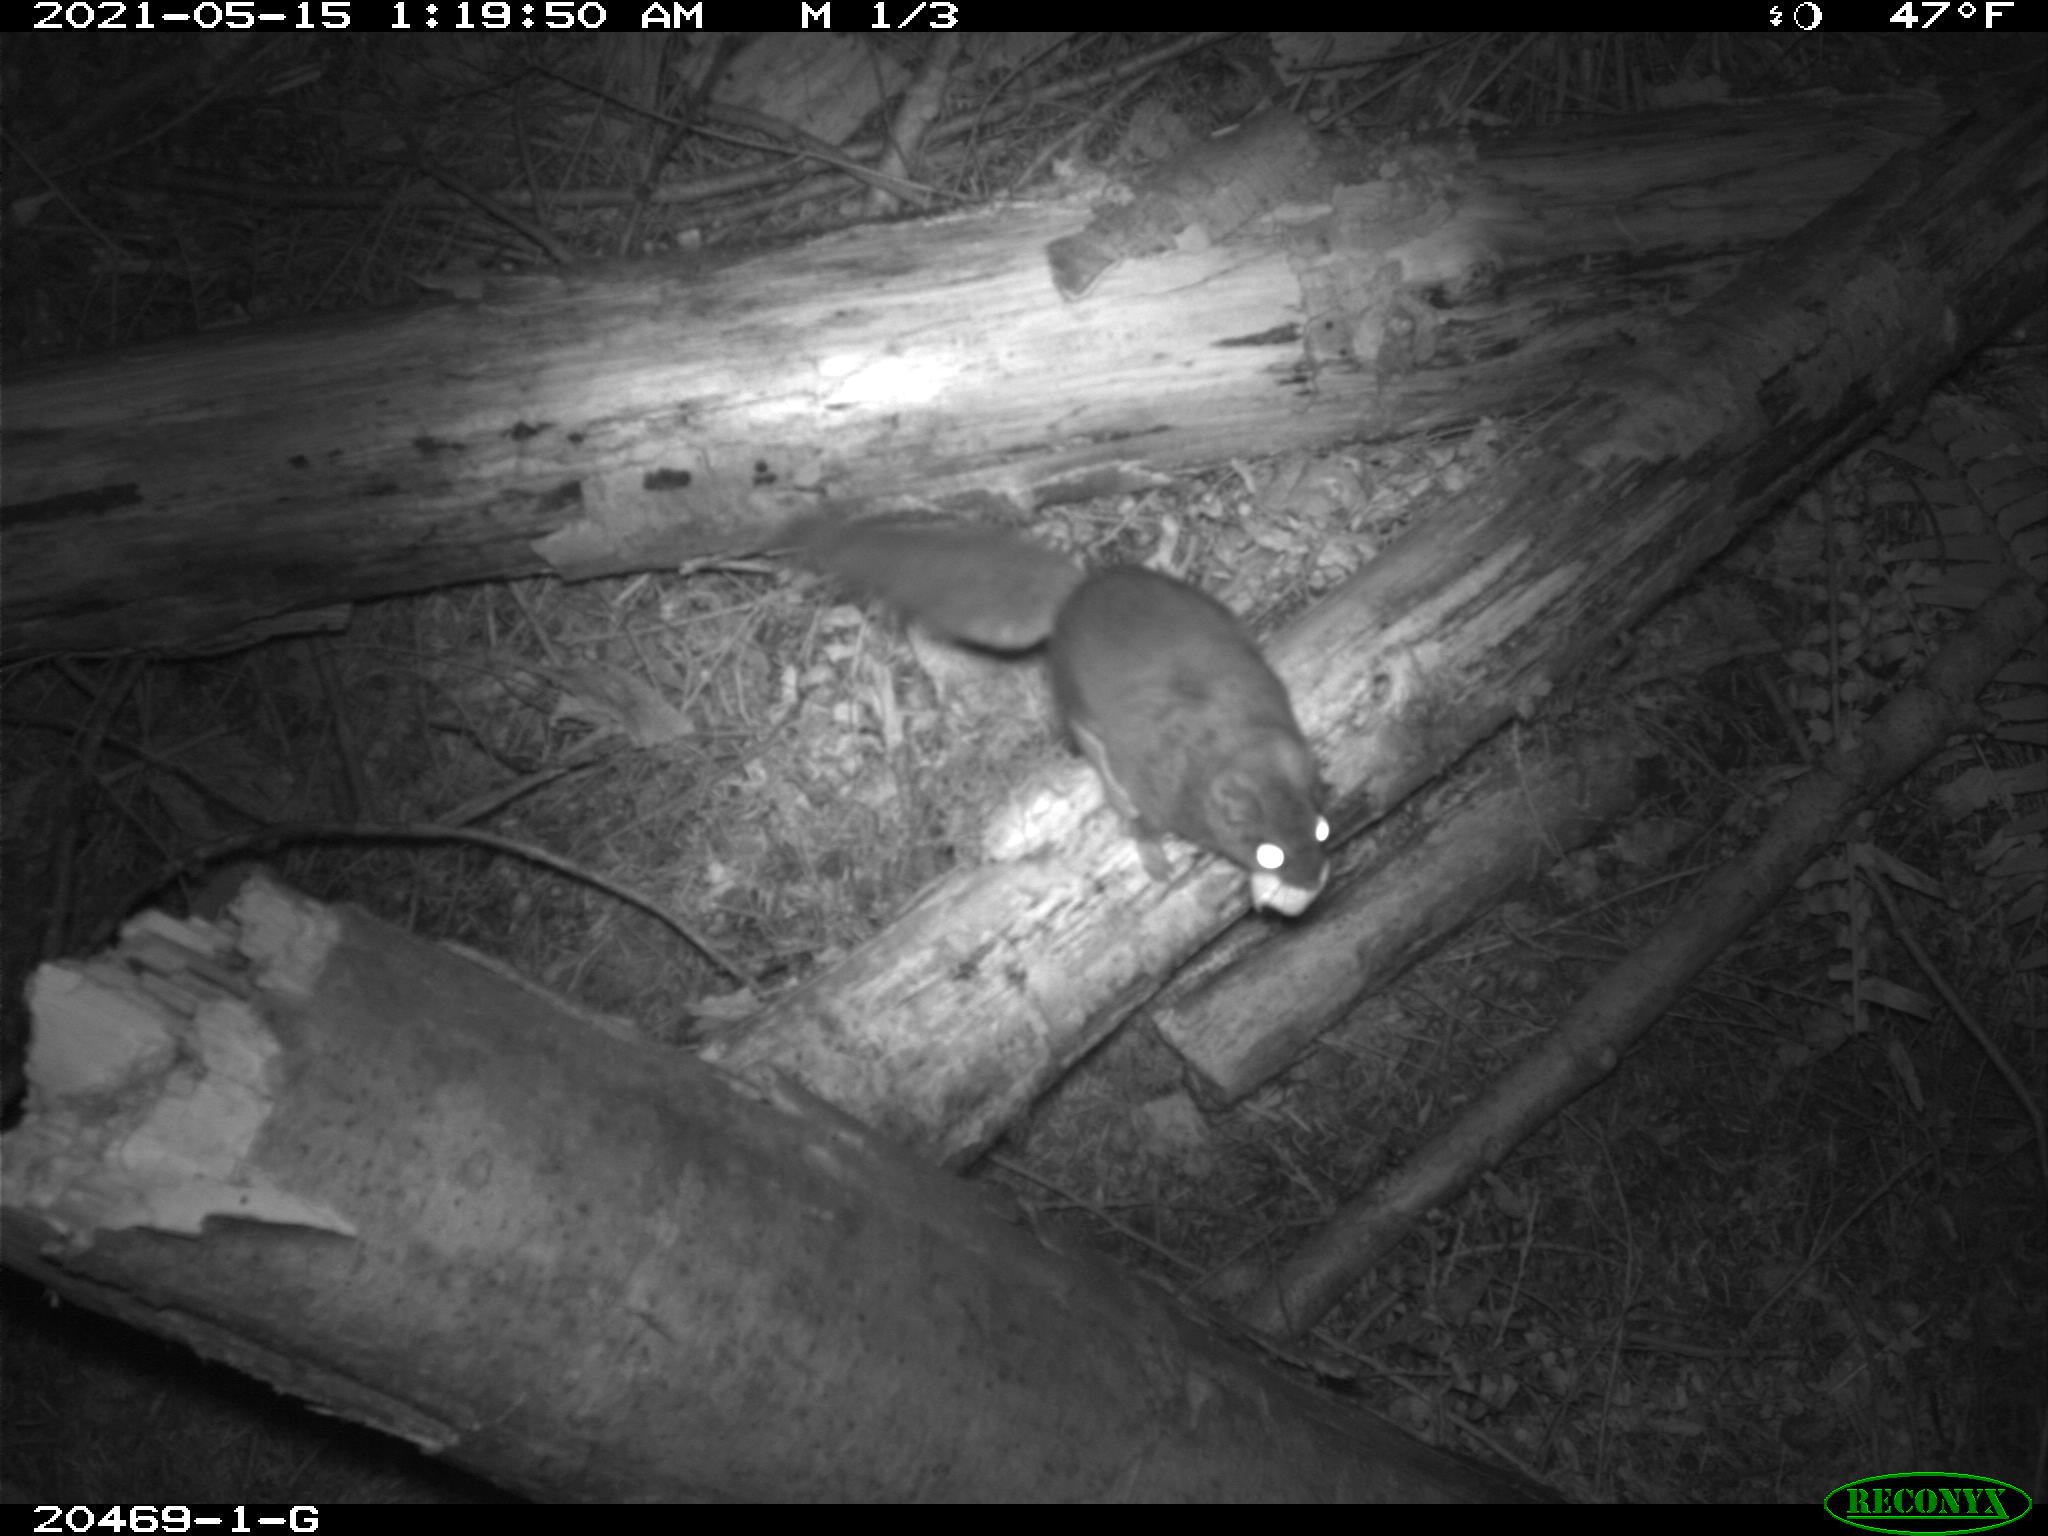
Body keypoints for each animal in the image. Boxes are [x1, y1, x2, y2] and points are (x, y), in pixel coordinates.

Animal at [787, 516, 1329, 914]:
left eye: (1322, 831)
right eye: (1268, 853)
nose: (1312, 881)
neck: (1236, 740)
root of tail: (1072, 595)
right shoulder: (1152, 787)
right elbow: (1139, 821)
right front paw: (1155, 860)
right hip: (1077, 704)